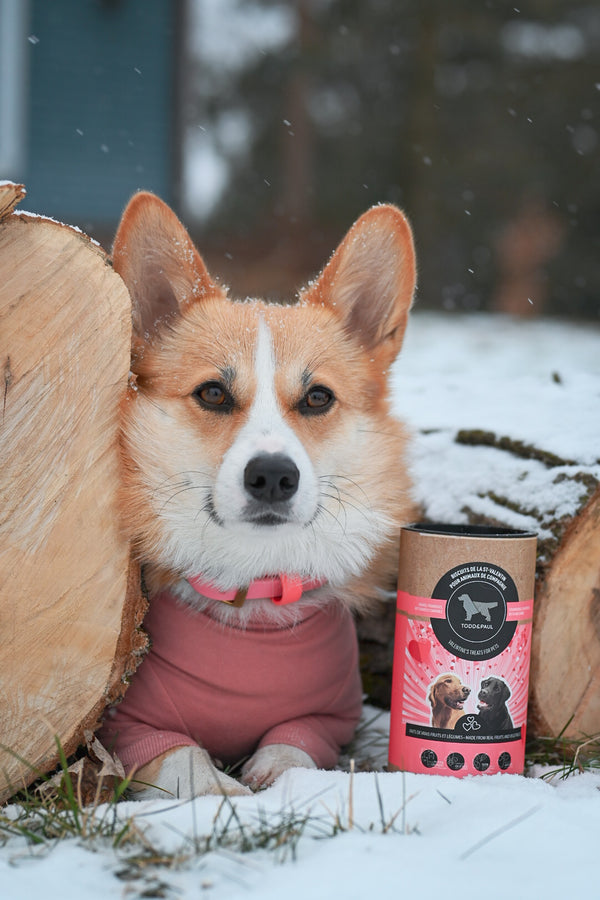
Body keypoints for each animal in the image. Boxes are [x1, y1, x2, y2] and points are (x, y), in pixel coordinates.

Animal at [99, 193, 418, 800]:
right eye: (213, 393)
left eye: (317, 398)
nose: (272, 476)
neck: (254, 585)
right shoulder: (130, 725)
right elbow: (183, 759)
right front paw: (220, 792)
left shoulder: (327, 720)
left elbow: (293, 750)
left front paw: (278, 779)